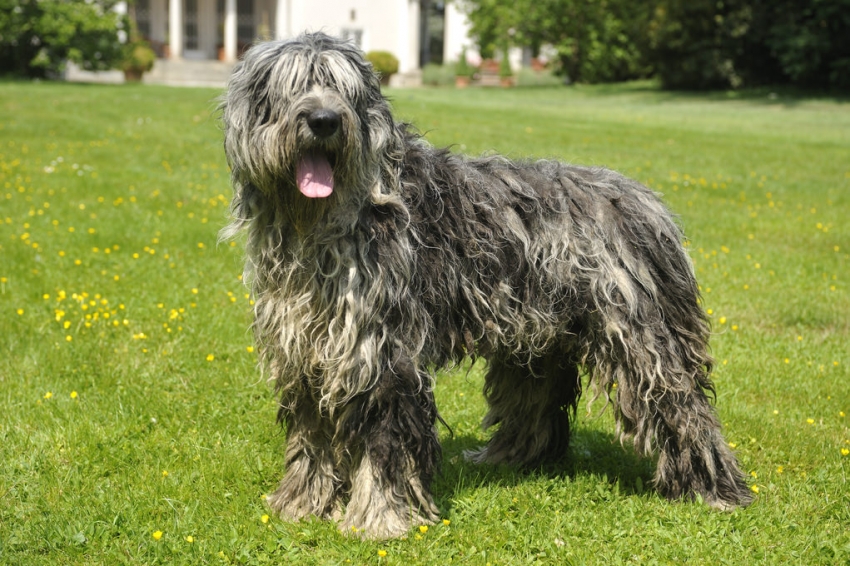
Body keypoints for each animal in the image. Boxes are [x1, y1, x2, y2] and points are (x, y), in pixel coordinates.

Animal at [219, 31, 748, 540]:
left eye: (343, 89)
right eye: (289, 86)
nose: (325, 120)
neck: (333, 217)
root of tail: (649, 205)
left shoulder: (385, 353)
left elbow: (385, 442)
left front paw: (379, 519)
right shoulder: (306, 349)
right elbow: (310, 436)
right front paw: (300, 504)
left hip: (642, 340)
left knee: (685, 409)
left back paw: (716, 490)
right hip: (537, 341)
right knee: (535, 402)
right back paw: (509, 457)